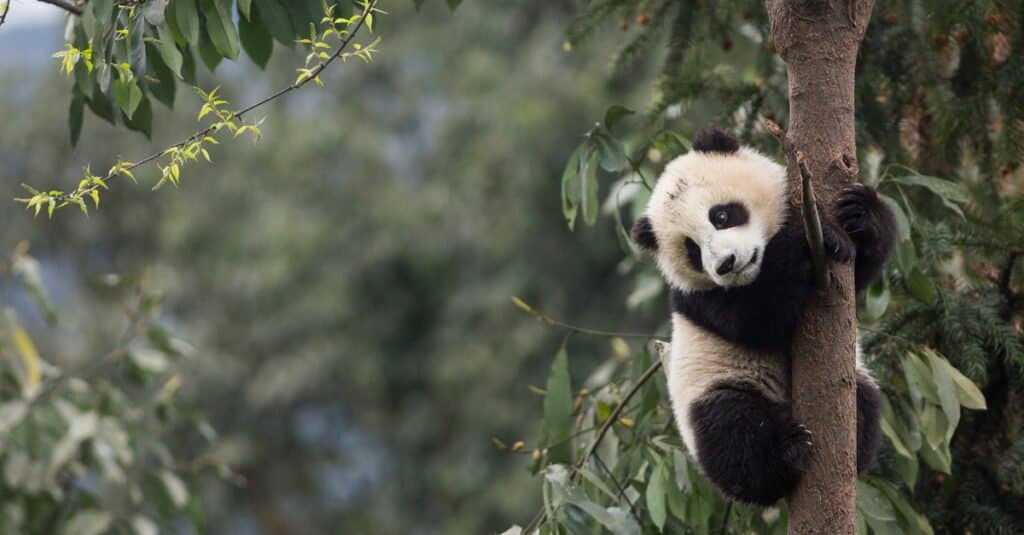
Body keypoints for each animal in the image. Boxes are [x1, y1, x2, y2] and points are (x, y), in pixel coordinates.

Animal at [630, 126, 897, 504]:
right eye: (692, 250)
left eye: (721, 216)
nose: (726, 265)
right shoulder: (700, 298)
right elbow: (758, 318)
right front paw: (805, 240)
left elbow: (861, 272)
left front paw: (858, 213)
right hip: (714, 387)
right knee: (732, 432)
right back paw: (787, 453)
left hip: (856, 376)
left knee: (867, 399)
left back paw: (854, 442)